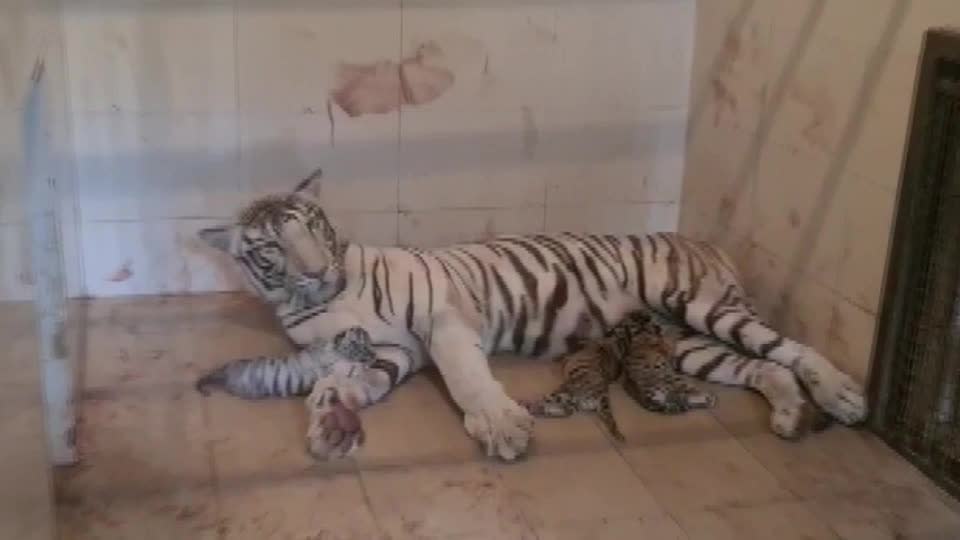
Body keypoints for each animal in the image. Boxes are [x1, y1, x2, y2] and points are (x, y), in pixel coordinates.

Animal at [193, 171, 864, 462]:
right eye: (272, 247)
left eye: (313, 227)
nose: (314, 269)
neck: (318, 300)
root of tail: (705, 241)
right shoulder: (389, 351)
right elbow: (348, 380)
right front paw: (332, 418)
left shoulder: (440, 321)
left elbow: (466, 377)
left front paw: (501, 426)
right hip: (687, 344)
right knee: (764, 368)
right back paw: (788, 413)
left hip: (696, 306)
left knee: (789, 349)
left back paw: (842, 395)